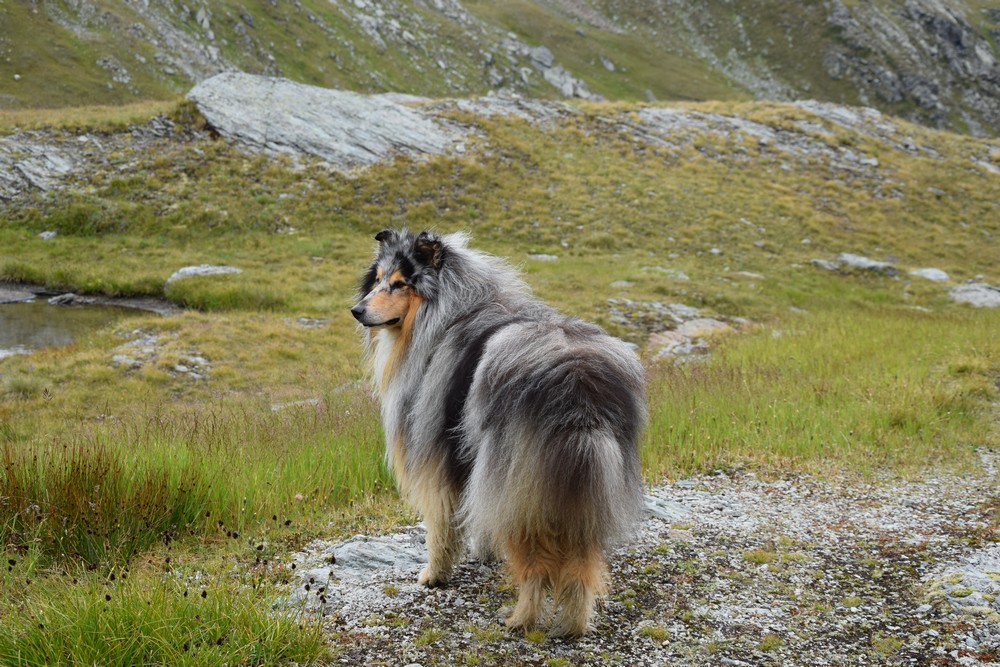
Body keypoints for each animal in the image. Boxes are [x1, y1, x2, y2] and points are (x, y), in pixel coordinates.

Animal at [354, 230, 648, 636]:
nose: (357, 310)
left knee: (536, 566)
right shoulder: (476, 465)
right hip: (585, 489)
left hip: (520, 484)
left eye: (399, 284)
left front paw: (434, 575)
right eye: (378, 278)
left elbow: (440, 523)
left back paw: (521, 620)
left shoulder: (436, 454)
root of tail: (576, 386)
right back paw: (573, 623)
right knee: (582, 563)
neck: (449, 311)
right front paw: (486, 553)